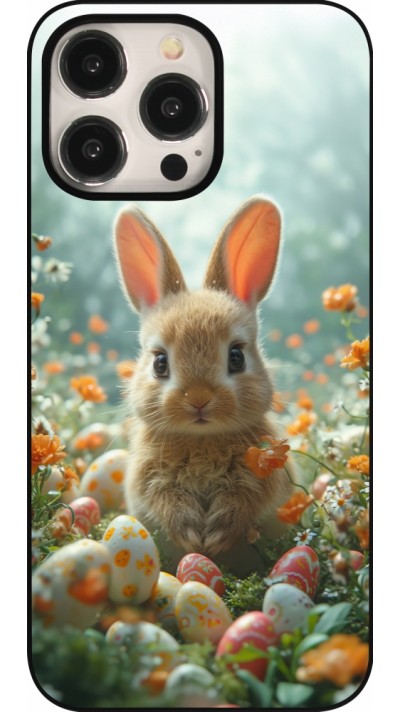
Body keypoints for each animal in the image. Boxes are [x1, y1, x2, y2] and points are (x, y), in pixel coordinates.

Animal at [114, 196, 294, 575]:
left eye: (236, 357)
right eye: (160, 363)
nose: (198, 399)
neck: (201, 439)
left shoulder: (264, 474)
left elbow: (245, 500)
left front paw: (216, 535)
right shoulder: (148, 478)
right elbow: (164, 500)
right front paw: (192, 534)